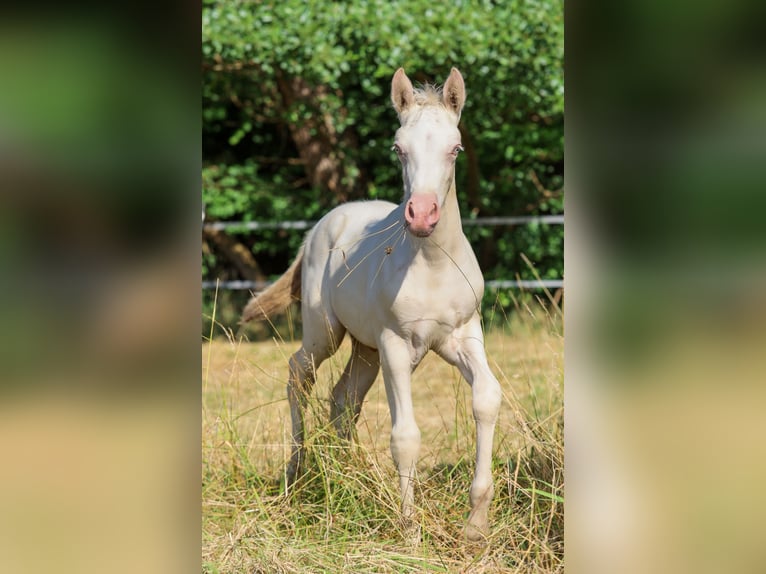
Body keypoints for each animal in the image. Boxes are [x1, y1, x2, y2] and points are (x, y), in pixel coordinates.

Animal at [242, 67, 502, 542]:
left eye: (455, 148)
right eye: (399, 148)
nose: (422, 215)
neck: (432, 264)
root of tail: (322, 226)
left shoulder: (462, 335)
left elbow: (487, 398)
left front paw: (475, 525)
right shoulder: (396, 345)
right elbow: (406, 436)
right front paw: (409, 528)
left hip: (365, 347)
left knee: (344, 400)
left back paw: (352, 474)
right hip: (326, 332)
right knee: (299, 373)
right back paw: (296, 474)